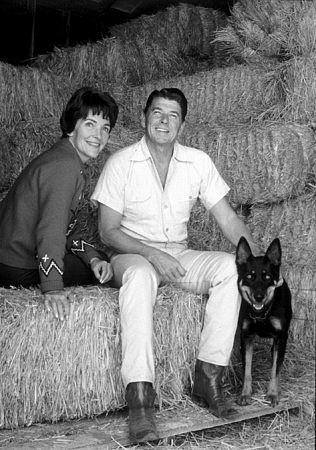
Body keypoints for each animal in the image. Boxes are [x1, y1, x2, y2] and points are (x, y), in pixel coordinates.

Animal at [236, 237, 292, 410]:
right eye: (250, 276)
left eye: (267, 277)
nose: (259, 297)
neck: (262, 314)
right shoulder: (246, 337)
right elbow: (247, 370)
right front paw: (245, 394)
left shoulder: (280, 338)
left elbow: (275, 370)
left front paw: (273, 394)